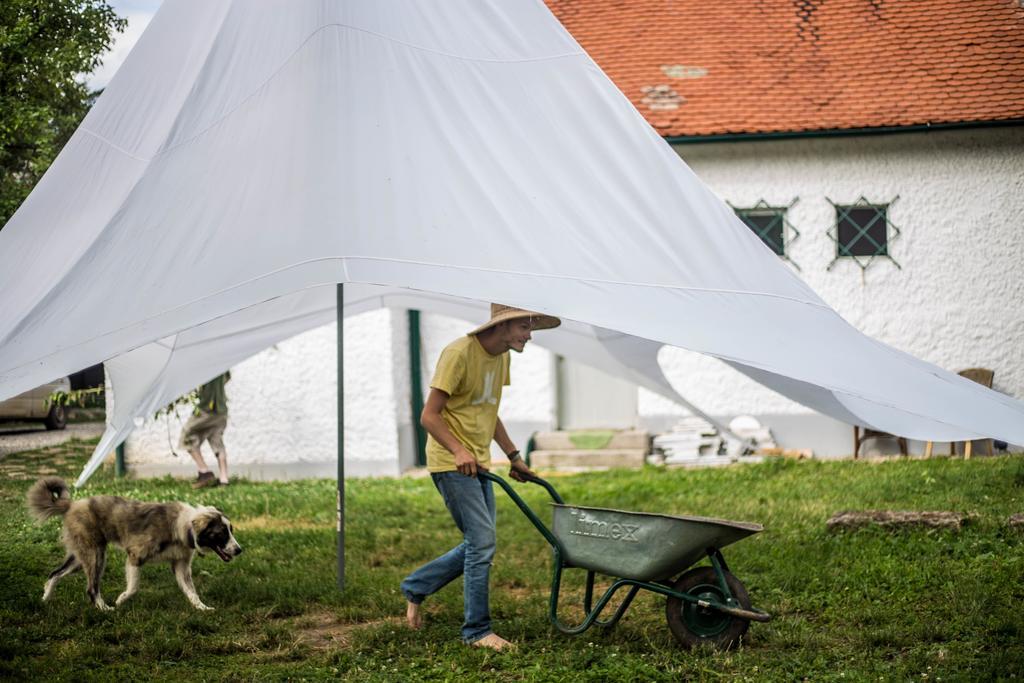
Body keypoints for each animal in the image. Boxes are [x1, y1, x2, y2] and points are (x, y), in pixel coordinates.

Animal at [27, 475, 242, 614]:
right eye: (222, 533)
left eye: (231, 530)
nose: (239, 550)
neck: (184, 526)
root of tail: (71, 504)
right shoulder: (135, 556)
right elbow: (133, 588)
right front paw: (121, 600)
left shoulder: (181, 565)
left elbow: (192, 592)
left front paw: (203, 608)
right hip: (96, 555)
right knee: (91, 588)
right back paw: (105, 609)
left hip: (80, 557)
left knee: (54, 574)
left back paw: (45, 600)